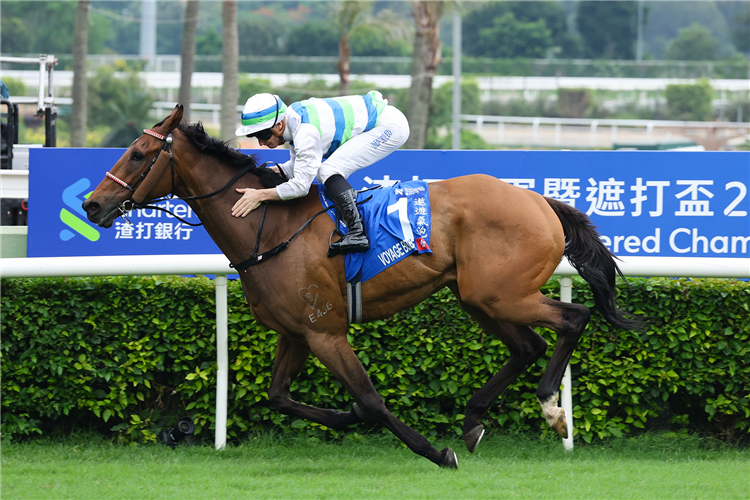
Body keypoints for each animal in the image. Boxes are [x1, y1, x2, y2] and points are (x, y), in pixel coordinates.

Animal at [83, 105, 639, 468]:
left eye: (138, 155)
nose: (91, 204)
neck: (270, 228)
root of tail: (541, 201)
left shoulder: (325, 332)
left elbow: (370, 401)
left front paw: (435, 451)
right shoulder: (296, 332)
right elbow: (279, 398)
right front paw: (343, 415)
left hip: (502, 294)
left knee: (573, 319)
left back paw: (550, 408)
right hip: (477, 297)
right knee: (528, 346)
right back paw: (475, 419)